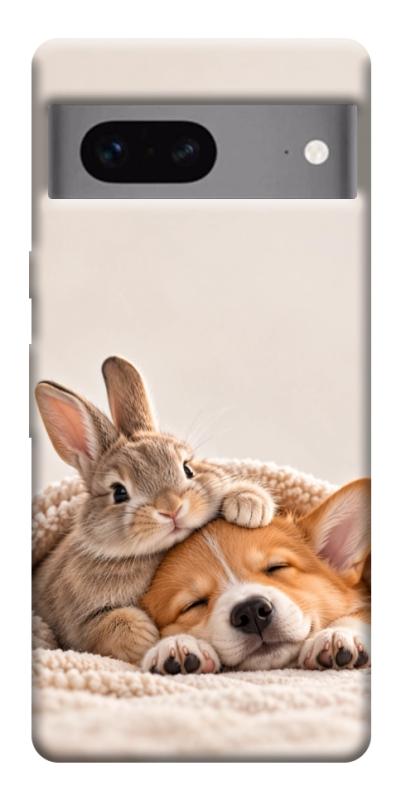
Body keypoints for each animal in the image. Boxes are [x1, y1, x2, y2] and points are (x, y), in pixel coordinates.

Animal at [33, 356, 276, 664]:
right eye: (119, 492)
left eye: (188, 468)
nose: (171, 508)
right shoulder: (78, 623)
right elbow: (107, 627)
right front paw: (147, 638)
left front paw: (249, 505)